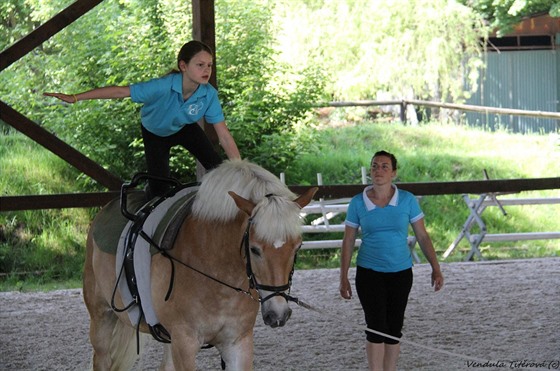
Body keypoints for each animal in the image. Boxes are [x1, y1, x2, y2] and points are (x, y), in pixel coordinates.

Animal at [83, 158, 320, 370]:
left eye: (297, 247)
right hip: (102, 318)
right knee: (101, 358)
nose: (278, 314)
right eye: (254, 249)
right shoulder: (184, 343)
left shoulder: (238, 342)